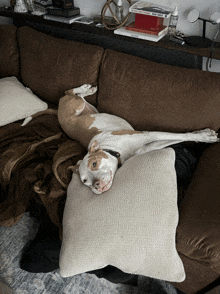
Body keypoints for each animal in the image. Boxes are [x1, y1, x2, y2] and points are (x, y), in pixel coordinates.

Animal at [24, 84, 220, 195]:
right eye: (85, 182)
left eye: (94, 164)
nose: (96, 186)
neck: (114, 150)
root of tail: (57, 111)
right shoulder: (148, 145)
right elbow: (173, 139)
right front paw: (204, 135)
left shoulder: (147, 135)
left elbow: (177, 136)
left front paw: (204, 135)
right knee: (72, 94)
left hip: (79, 106)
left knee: (71, 92)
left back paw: (86, 88)